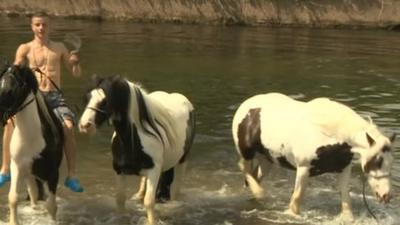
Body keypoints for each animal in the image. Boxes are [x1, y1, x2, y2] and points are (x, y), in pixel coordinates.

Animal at [0, 65, 63, 225]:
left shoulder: (53, 173)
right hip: (30, 175)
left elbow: (51, 205)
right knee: (34, 196)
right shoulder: (17, 166)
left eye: (14, 88)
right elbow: (13, 198)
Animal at [233, 92, 396, 221]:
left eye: (391, 162)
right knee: (244, 168)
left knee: (254, 176)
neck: (329, 133)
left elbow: (346, 202)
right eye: (378, 161)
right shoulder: (303, 169)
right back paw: (259, 193)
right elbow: (296, 201)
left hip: (267, 159)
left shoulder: (343, 170)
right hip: (247, 152)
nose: (386, 195)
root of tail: (245, 105)